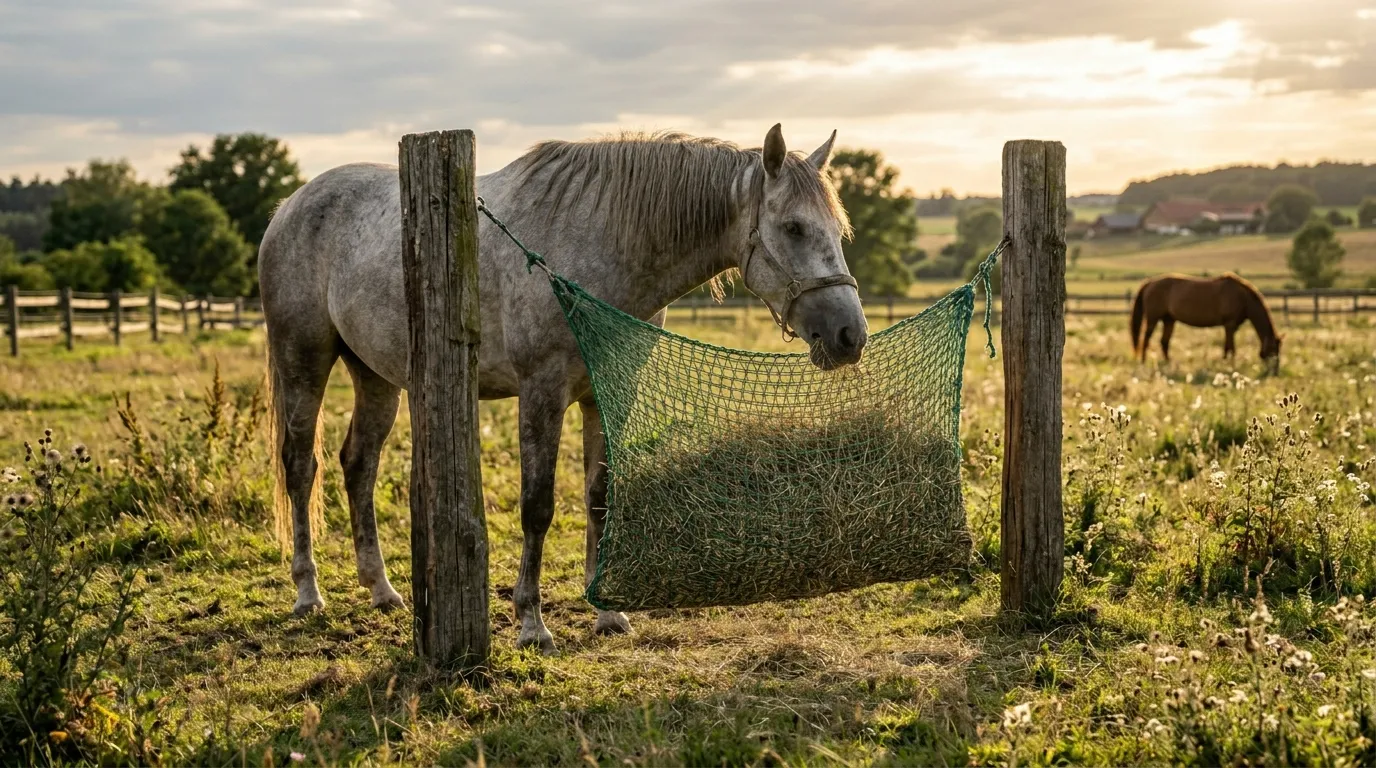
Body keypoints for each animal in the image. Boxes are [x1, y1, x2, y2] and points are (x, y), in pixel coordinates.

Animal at [258, 125, 867, 654]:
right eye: (793, 227)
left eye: (838, 232)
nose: (850, 336)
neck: (596, 249)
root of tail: (290, 206)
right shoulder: (541, 392)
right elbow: (538, 505)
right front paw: (531, 623)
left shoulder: (605, 392)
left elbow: (598, 496)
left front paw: (608, 612)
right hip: (303, 362)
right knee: (300, 466)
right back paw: (308, 592)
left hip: (377, 377)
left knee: (359, 463)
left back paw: (382, 590)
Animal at [1129, 272, 1282, 371]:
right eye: (1273, 351)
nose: (1275, 371)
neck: (1243, 298)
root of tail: (1150, 282)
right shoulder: (1230, 325)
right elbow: (1231, 347)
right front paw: (1231, 366)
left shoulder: (1231, 327)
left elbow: (1226, 346)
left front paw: (1225, 363)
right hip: (1153, 319)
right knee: (1146, 339)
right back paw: (1143, 362)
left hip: (1169, 320)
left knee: (1164, 342)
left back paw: (1168, 364)